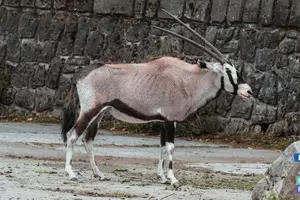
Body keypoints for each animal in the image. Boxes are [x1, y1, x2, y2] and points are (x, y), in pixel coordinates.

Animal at [61, 8, 253, 185]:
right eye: (228, 71)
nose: (248, 91)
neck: (188, 80)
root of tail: (80, 74)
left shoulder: (165, 121)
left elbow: (161, 147)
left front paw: (162, 177)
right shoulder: (170, 119)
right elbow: (170, 147)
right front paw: (173, 179)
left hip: (100, 112)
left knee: (88, 139)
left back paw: (98, 174)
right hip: (89, 110)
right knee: (72, 135)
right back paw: (71, 173)